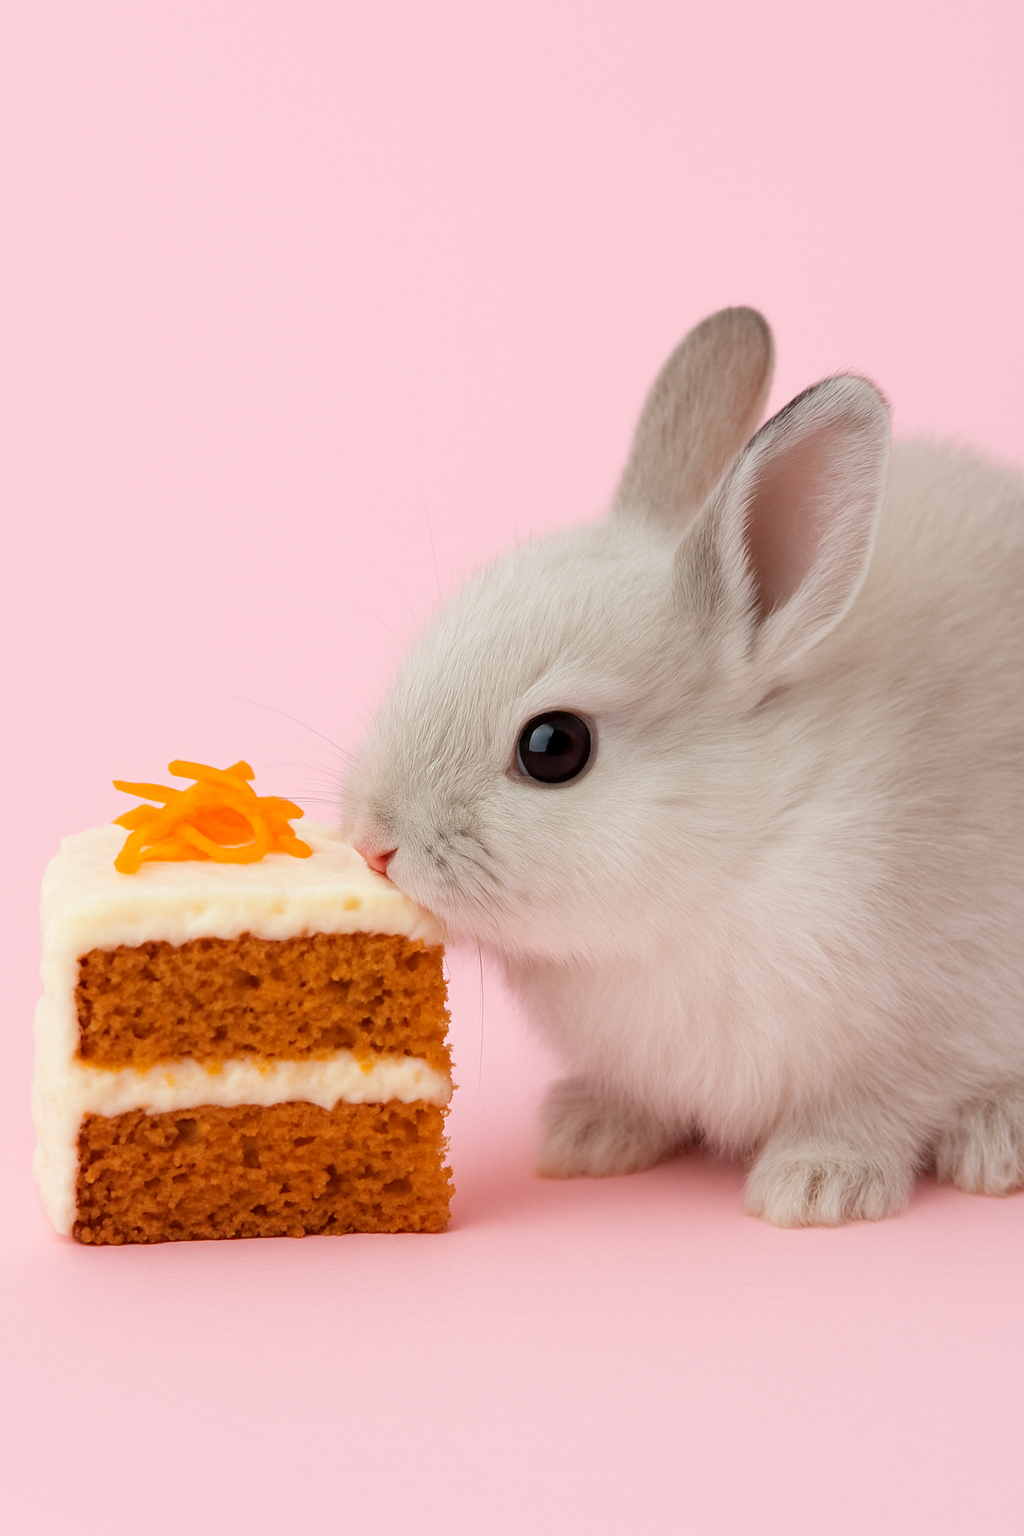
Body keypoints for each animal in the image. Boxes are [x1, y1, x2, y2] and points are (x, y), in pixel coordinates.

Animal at [342, 306, 1024, 1227]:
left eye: (555, 747)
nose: (373, 842)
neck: (745, 847)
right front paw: (589, 1136)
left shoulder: (921, 1034)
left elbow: (870, 1110)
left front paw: (815, 1188)